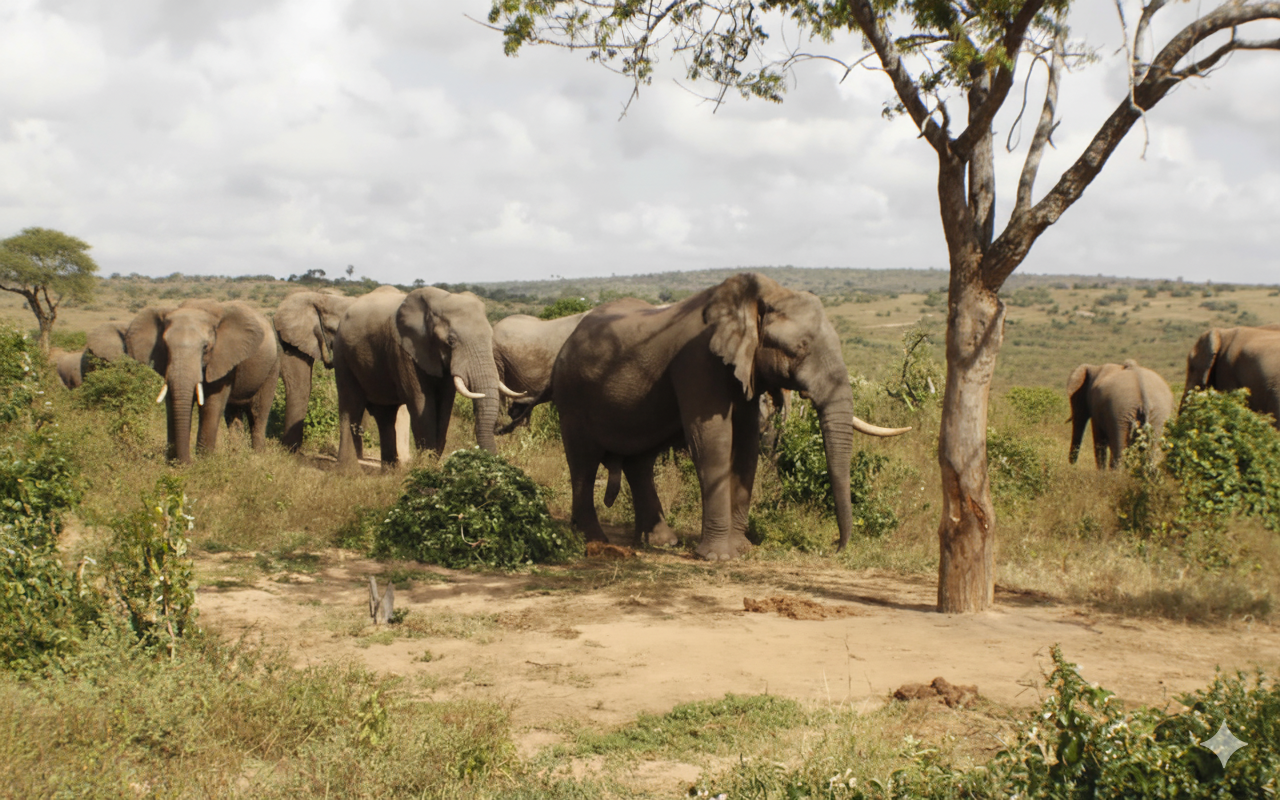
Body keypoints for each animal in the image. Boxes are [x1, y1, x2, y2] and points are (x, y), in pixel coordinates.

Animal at [127, 300, 281, 463]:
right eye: (165, 347)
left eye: (206, 347)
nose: (186, 463)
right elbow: (171, 402)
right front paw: (172, 462)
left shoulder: (222, 358)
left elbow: (211, 404)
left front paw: (204, 462)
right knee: (233, 414)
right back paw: (235, 455)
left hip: (273, 366)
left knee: (257, 413)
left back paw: (257, 456)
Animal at [332, 286, 521, 468]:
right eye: (451, 341)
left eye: (490, 337)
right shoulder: (404, 351)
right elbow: (421, 402)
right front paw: (426, 466)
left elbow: (445, 405)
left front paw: (431, 463)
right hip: (342, 354)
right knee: (351, 405)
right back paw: (348, 470)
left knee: (385, 415)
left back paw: (390, 470)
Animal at [551, 272, 910, 561]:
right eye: (800, 348)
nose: (835, 547)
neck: (756, 299)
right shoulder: (698, 361)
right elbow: (713, 440)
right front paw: (718, 558)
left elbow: (747, 442)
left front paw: (741, 549)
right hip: (571, 397)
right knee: (583, 462)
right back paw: (594, 541)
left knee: (640, 462)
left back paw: (661, 542)